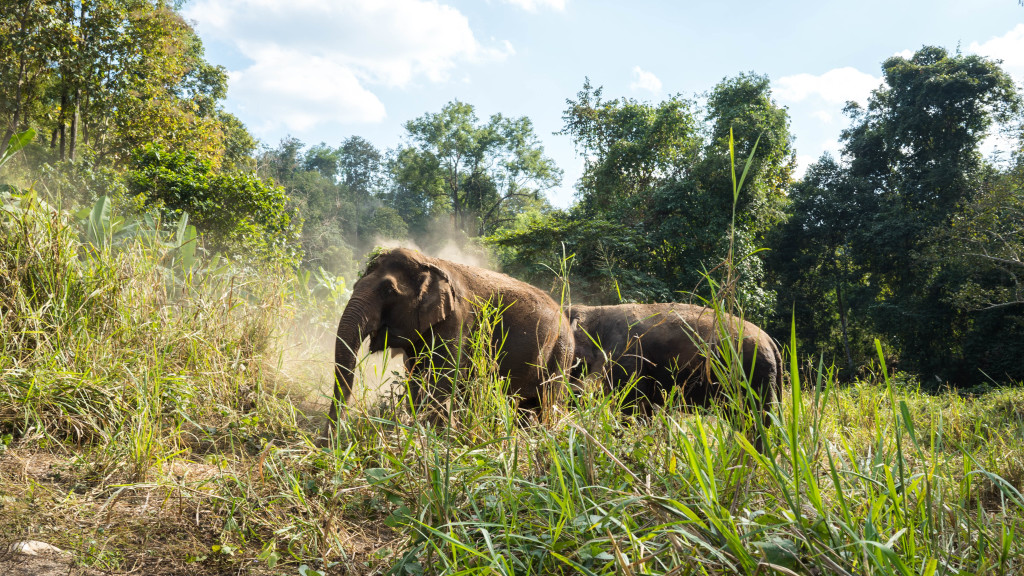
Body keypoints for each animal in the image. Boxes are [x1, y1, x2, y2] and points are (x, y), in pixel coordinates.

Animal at [331, 247, 573, 422]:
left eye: (388, 290)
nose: (328, 443)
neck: (429, 262)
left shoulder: (458, 319)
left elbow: (442, 378)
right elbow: (416, 377)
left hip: (561, 355)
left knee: (549, 401)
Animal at [569, 303, 782, 446]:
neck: (594, 311)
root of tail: (771, 343)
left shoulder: (626, 355)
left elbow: (631, 408)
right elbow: (644, 411)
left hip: (753, 376)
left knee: (755, 422)